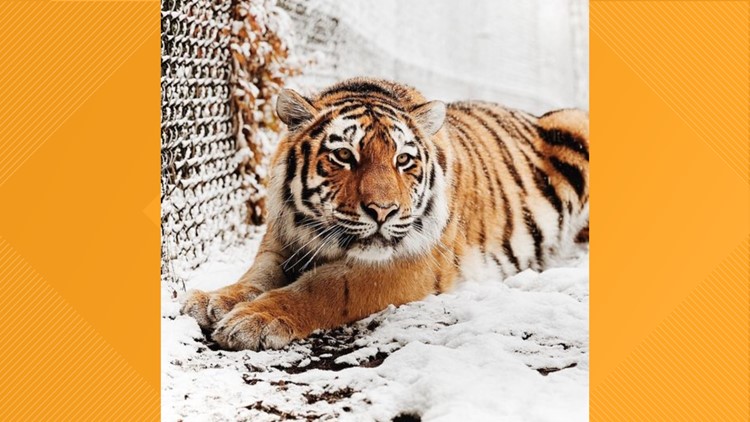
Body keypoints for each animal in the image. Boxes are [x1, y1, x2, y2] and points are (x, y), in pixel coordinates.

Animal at [181, 77, 589, 351]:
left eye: (403, 160)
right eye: (343, 156)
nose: (383, 210)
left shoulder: (407, 264)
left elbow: (323, 287)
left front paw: (252, 320)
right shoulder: (282, 242)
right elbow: (256, 276)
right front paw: (214, 301)